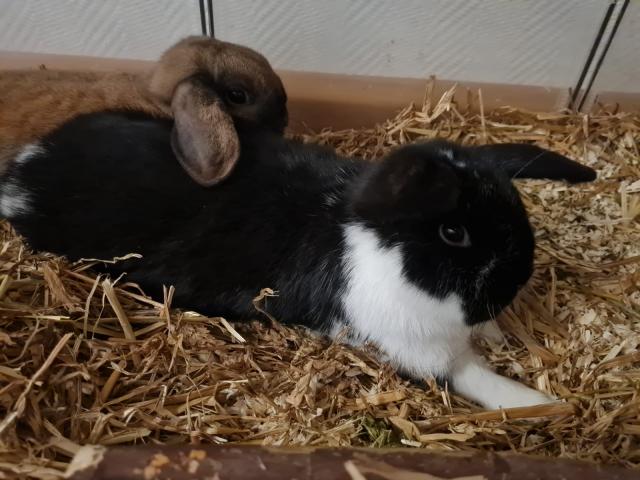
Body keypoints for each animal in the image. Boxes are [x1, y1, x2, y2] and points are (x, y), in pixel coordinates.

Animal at [0, 109, 596, 410]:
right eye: (453, 232)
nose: (518, 278)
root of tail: (23, 172)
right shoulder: (416, 349)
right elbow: (475, 378)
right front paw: (543, 405)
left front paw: (503, 336)